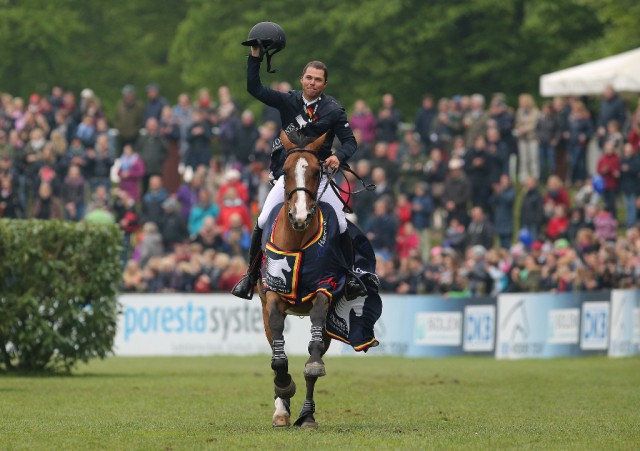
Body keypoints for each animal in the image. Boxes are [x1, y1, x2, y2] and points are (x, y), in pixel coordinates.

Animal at [256, 132, 348, 430]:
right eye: (285, 171)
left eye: (318, 171)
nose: (299, 216)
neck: (296, 239)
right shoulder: (272, 294)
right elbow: (278, 354)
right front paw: (283, 386)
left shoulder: (326, 287)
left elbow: (314, 348)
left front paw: (313, 365)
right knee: (275, 345)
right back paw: (282, 411)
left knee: (314, 358)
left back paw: (307, 415)